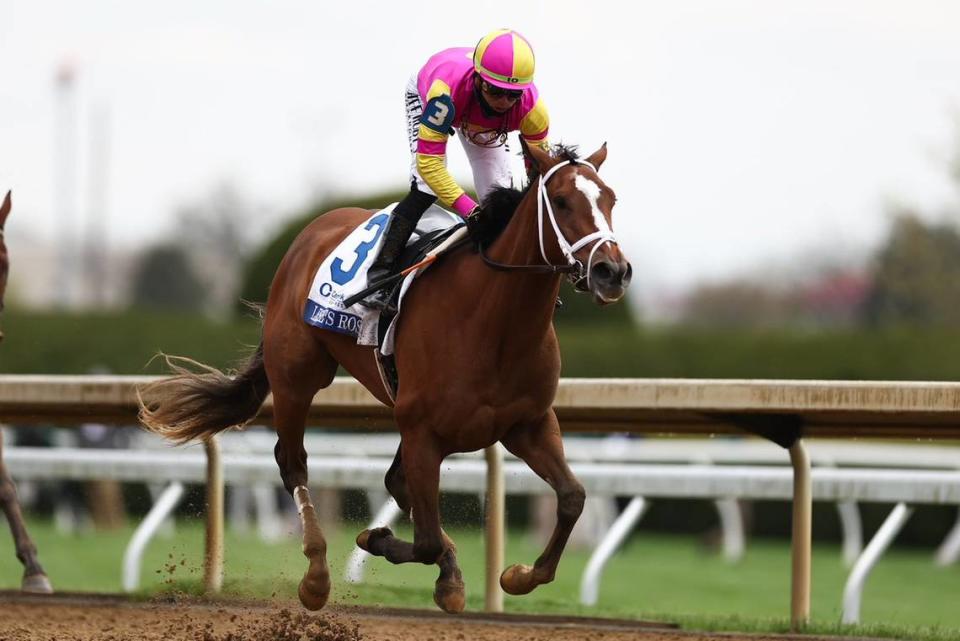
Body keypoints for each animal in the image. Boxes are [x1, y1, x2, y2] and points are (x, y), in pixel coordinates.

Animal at [137, 142, 632, 612]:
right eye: (562, 202)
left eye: (611, 198)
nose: (613, 271)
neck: (495, 322)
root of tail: (312, 231)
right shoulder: (422, 430)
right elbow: (426, 538)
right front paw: (378, 540)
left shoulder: (526, 424)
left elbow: (571, 497)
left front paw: (517, 576)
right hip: (298, 376)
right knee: (293, 462)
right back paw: (317, 576)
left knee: (396, 483)